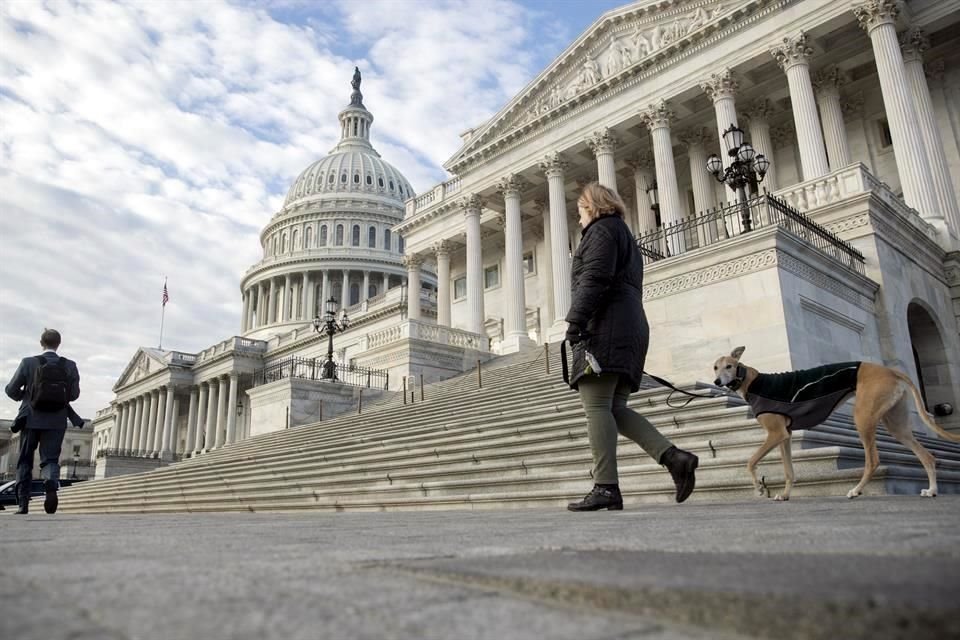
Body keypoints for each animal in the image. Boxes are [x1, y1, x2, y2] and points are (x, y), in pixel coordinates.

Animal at [708, 344, 956, 500]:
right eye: (715, 367)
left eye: (729, 366)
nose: (717, 382)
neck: (752, 382)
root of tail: (890, 371)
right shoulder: (784, 436)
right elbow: (789, 471)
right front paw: (785, 496)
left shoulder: (775, 434)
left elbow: (750, 462)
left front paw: (759, 489)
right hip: (896, 425)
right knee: (927, 456)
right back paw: (932, 491)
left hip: (863, 418)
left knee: (873, 460)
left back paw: (855, 491)